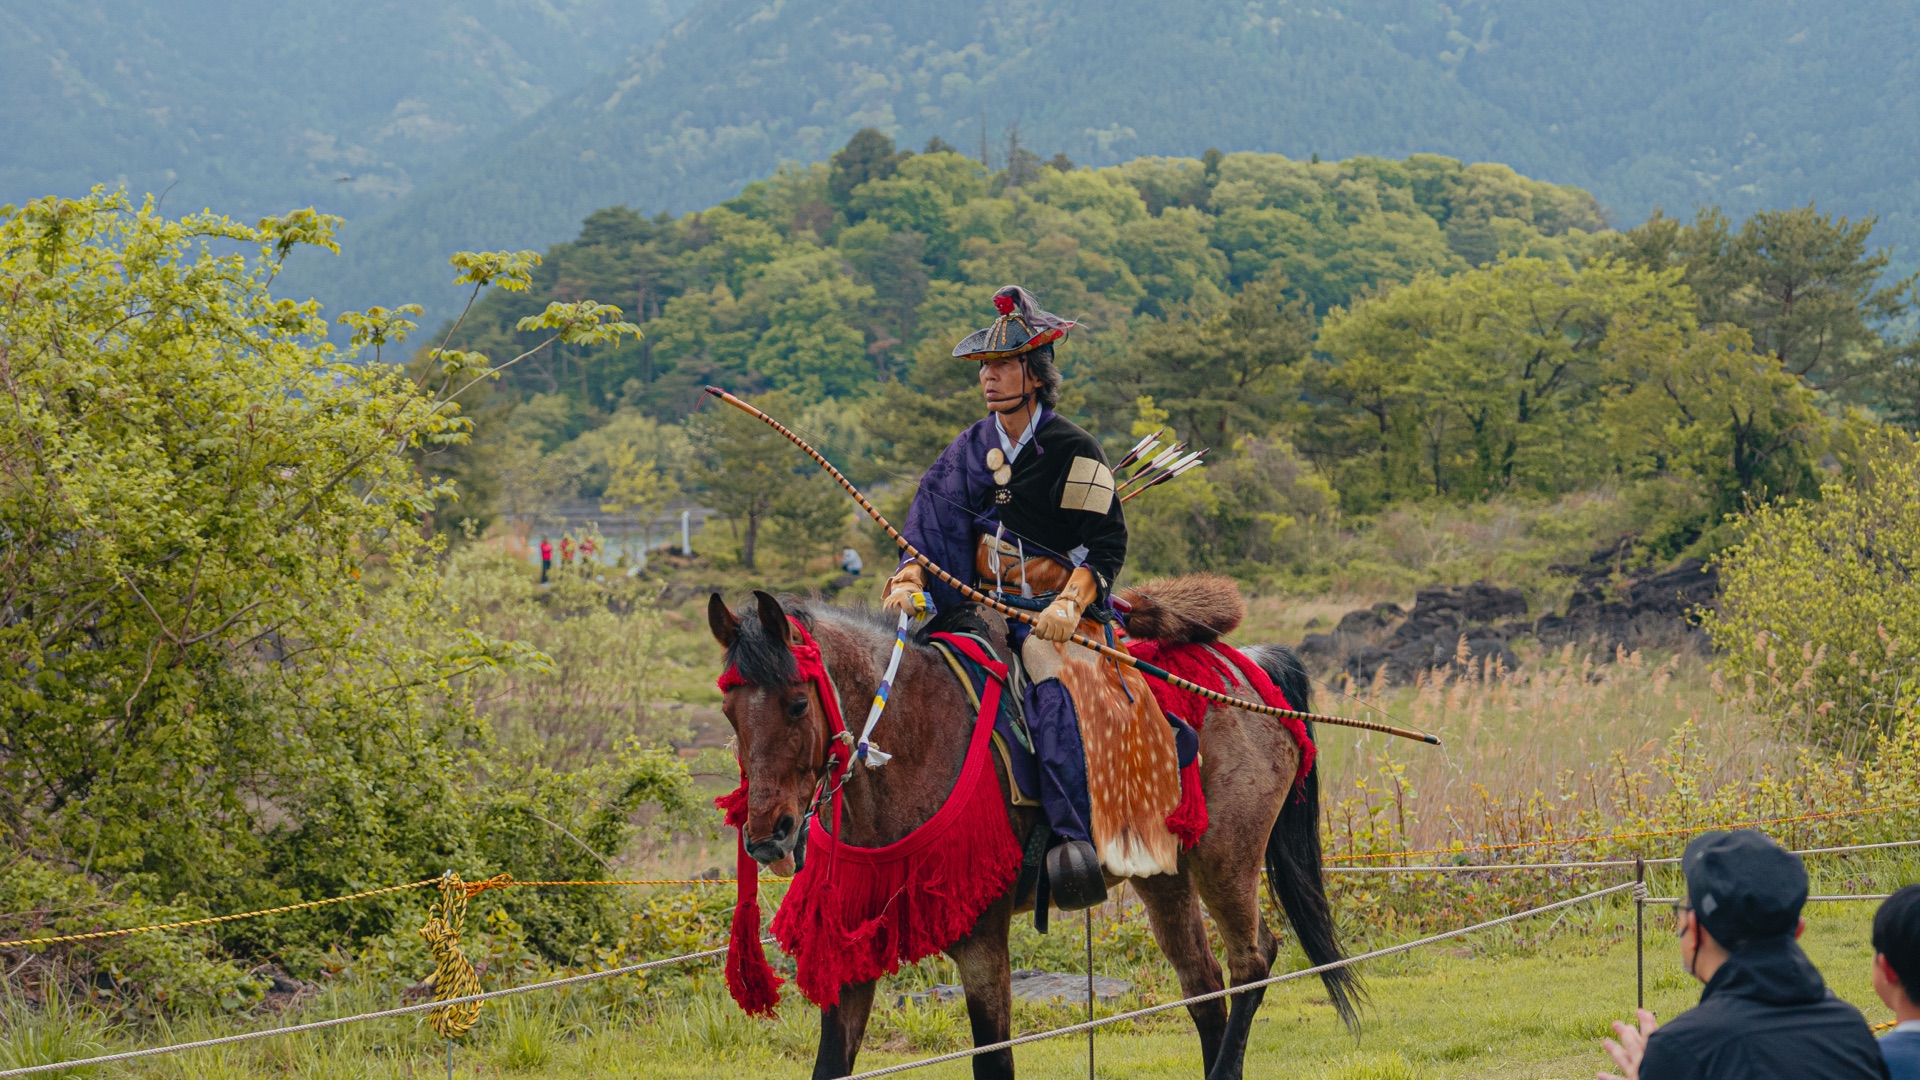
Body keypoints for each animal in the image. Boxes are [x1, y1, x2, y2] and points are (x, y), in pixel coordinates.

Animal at [707, 588, 1360, 1080]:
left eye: (797, 704)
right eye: (729, 714)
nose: (768, 836)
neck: (916, 737)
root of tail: (1248, 673)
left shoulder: (981, 938)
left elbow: (994, 1062)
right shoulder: (851, 945)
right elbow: (830, 1066)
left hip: (1226, 856)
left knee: (1253, 962)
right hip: (1163, 874)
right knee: (1204, 988)